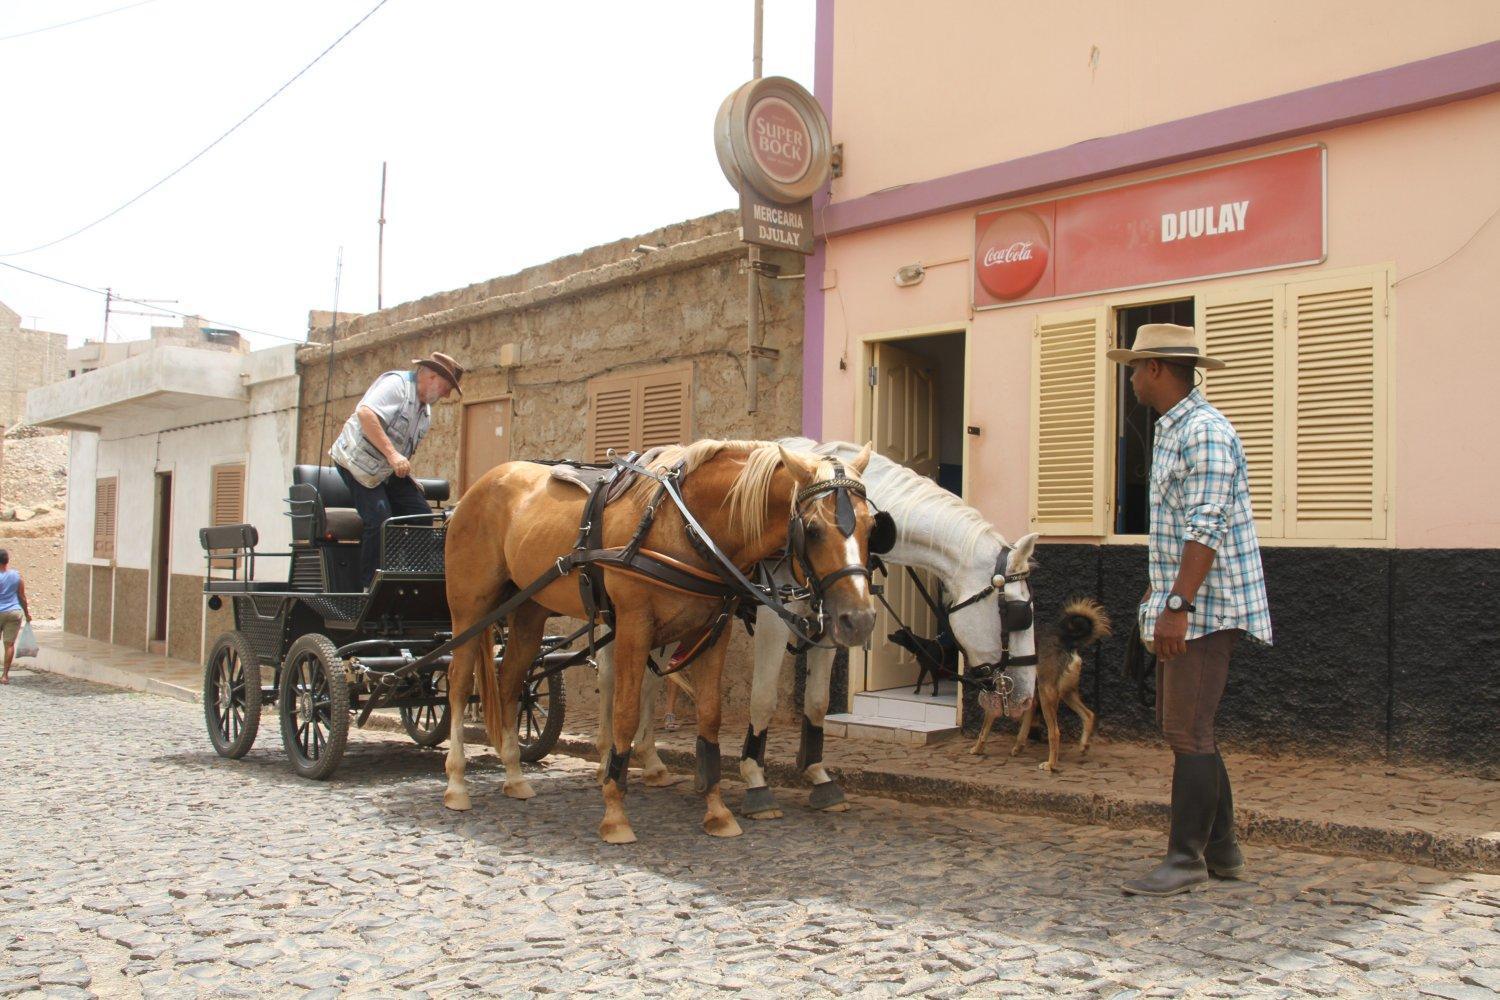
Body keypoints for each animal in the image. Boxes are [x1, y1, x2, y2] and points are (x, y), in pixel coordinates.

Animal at [438, 440, 876, 839]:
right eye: (813, 529)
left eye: (873, 526)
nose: (859, 619)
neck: (688, 527)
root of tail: (480, 486)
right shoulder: (634, 625)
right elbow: (626, 713)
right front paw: (615, 811)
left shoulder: (714, 630)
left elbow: (710, 716)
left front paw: (717, 810)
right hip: (470, 610)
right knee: (458, 682)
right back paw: (457, 783)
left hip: (530, 611)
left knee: (510, 683)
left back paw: (514, 775)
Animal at [591, 440, 1038, 815]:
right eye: (1016, 613)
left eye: (872, 529)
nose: (1024, 696)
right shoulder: (776, 615)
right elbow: (764, 699)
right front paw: (755, 778)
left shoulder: (834, 620)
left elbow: (819, 702)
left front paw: (817, 774)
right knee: (614, 678)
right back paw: (607, 760)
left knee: (650, 681)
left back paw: (651, 761)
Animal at [966, 599, 1110, 773]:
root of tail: (1067, 642)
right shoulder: (1026, 695)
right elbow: (1026, 719)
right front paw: (1019, 746)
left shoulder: (998, 698)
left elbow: (983, 731)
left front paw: (977, 749)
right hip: (1065, 692)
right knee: (1088, 714)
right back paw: (1083, 745)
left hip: (1046, 691)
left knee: (1055, 732)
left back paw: (1051, 764)